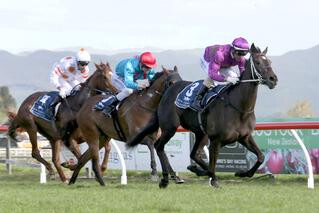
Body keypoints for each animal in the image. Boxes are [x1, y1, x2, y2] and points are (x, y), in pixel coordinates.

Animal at [129, 43, 278, 188]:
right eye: (258, 62)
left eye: (270, 61)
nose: (273, 79)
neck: (239, 108)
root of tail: (169, 89)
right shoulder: (216, 140)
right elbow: (212, 167)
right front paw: (212, 178)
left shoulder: (244, 137)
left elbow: (260, 157)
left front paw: (242, 173)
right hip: (170, 127)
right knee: (159, 146)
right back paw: (165, 179)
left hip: (200, 133)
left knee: (193, 154)